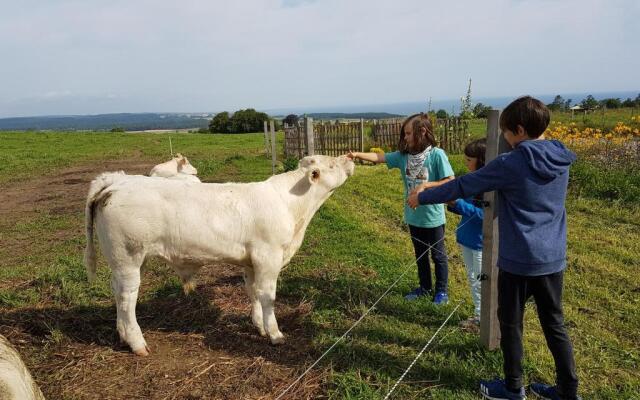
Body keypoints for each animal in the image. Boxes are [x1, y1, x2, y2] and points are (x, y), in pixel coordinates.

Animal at [84, 155, 356, 354]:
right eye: (332, 164)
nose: (351, 156)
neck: (291, 206)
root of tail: (117, 181)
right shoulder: (268, 257)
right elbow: (268, 297)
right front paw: (275, 334)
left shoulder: (251, 262)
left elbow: (253, 293)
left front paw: (259, 326)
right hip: (128, 257)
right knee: (127, 298)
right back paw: (137, 343)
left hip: (125, 262)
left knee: (118, 294)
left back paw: (122, 336)